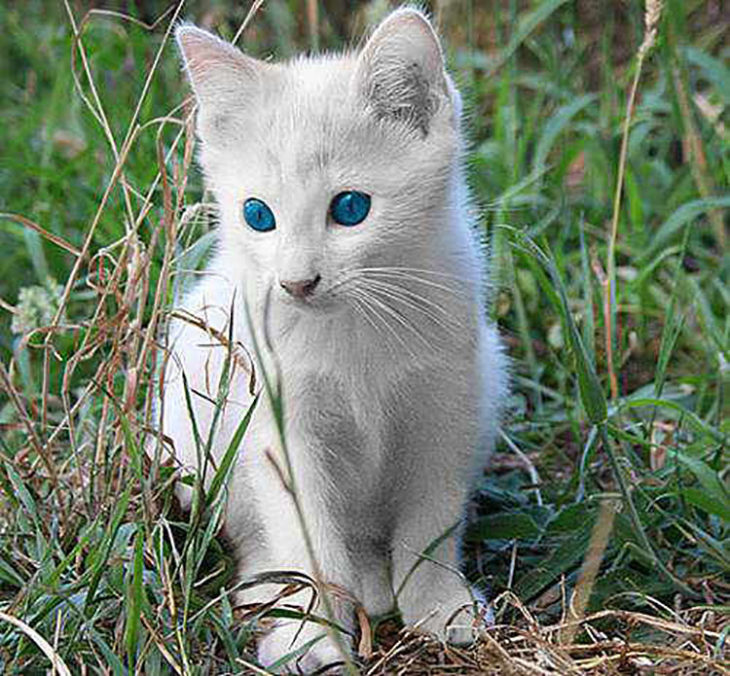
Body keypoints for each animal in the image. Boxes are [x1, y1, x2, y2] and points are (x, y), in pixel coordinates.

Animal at [163, 7, 506, 672]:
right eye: (258, 216)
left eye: (350, 208)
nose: (298, 282)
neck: (353, 329)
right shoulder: (279, 425)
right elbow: (307, 538)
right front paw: (313, 635)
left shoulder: (450, 403)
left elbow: (431, 521)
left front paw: (438, 604)